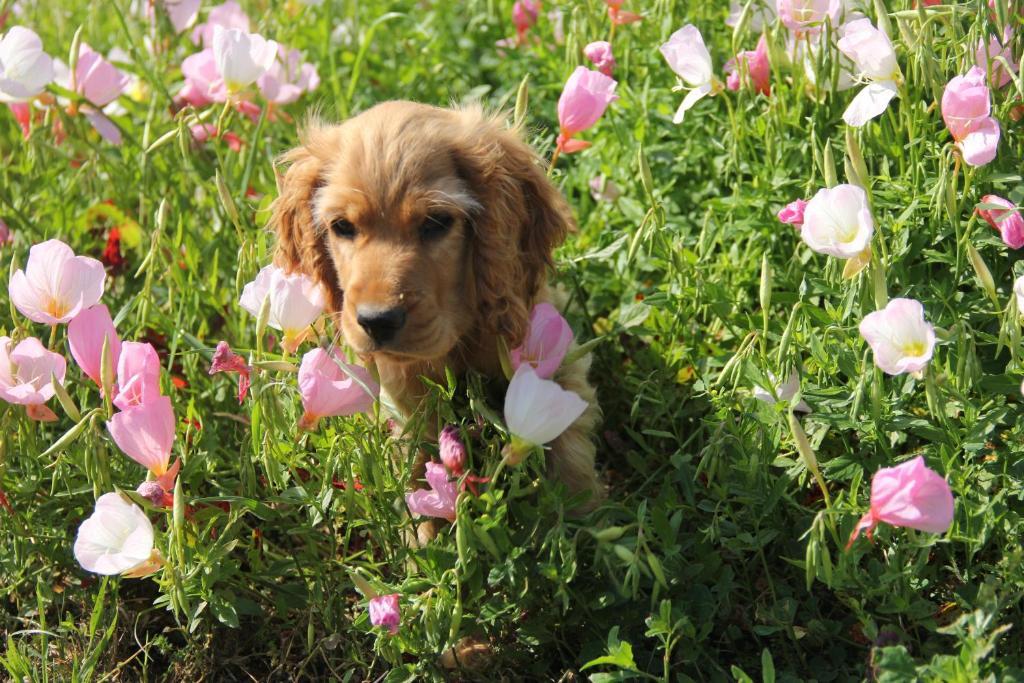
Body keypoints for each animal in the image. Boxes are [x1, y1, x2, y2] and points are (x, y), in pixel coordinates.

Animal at [272, 101, 602, 507]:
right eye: (342, 226)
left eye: (436, 221)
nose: (376, 321)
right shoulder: (402, 399)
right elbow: (415, 457)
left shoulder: (555, 352)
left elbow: (568, 440)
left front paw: (584, 511)